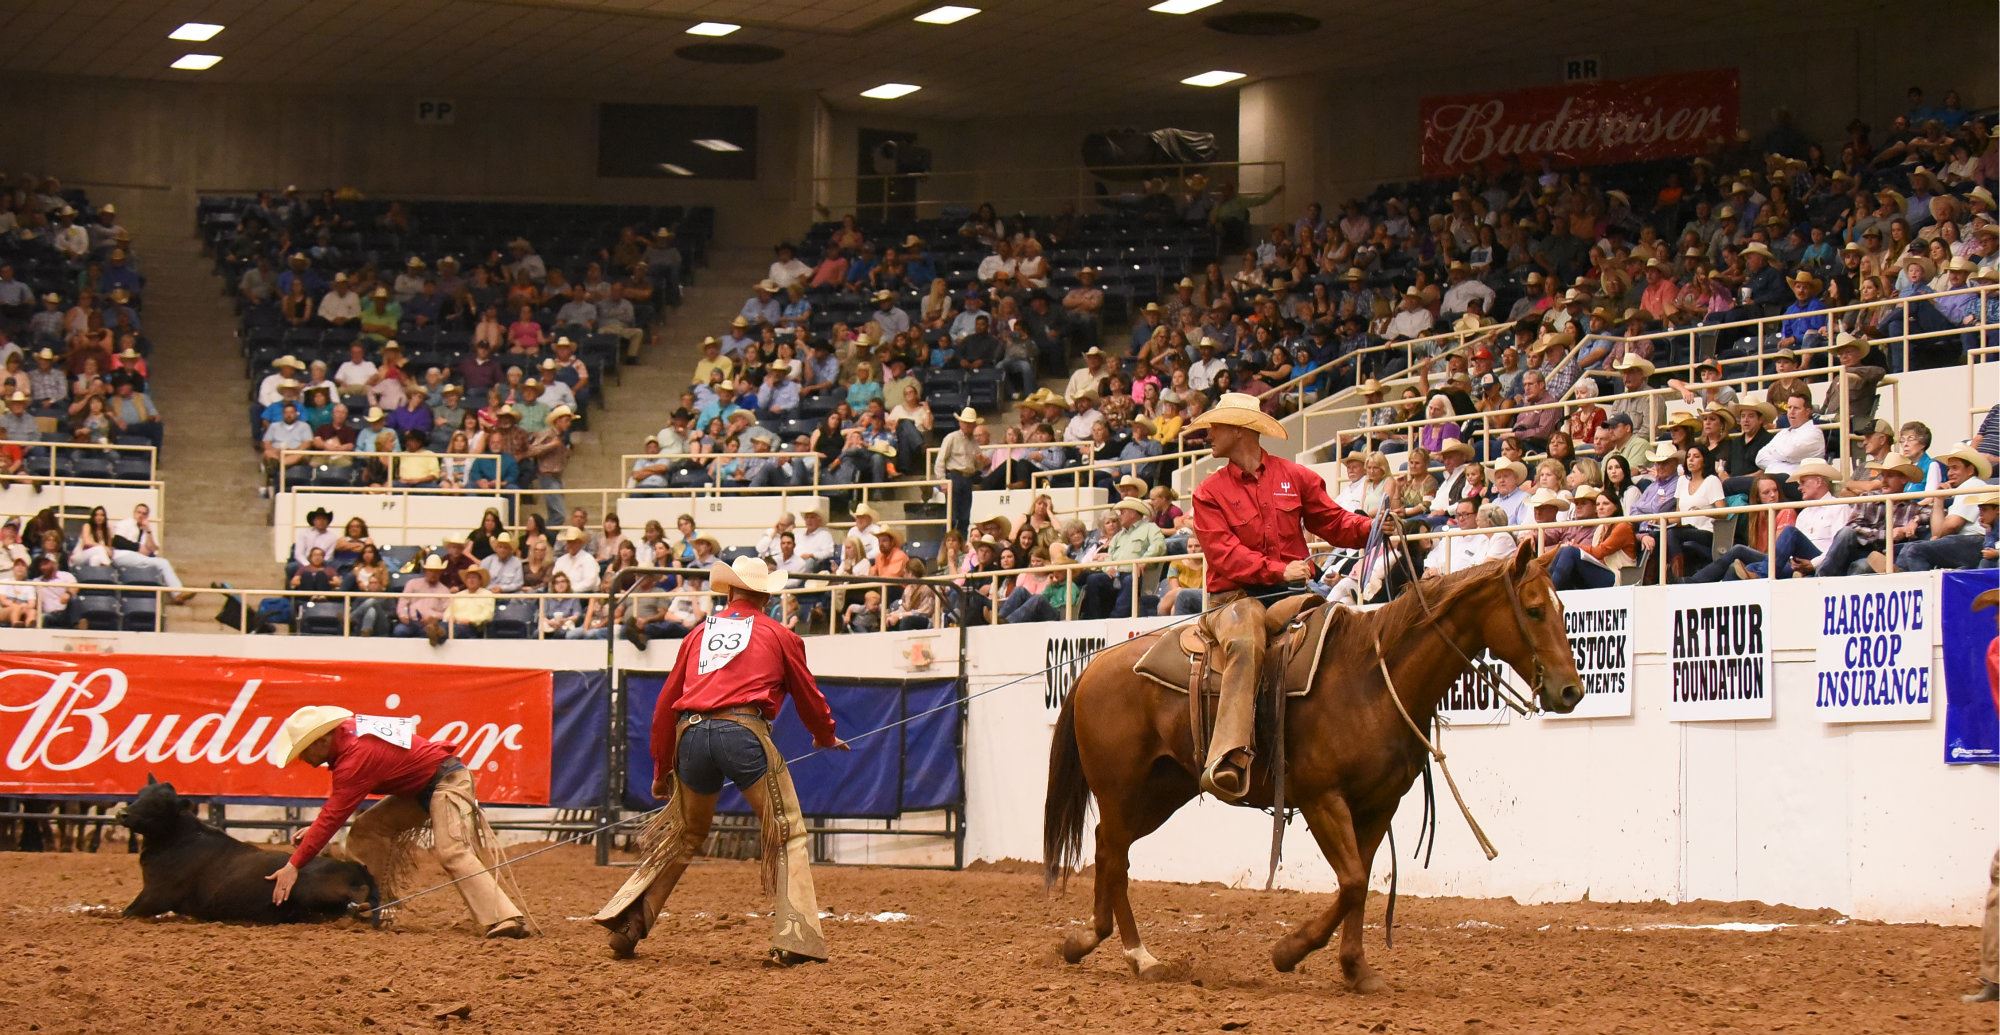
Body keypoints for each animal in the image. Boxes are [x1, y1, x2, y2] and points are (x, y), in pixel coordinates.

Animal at [120, 776, 380, 925]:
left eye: (158, 803)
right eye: (139, 794)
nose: (122, 813)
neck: (177, 839)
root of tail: (357, 873)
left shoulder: (154, 896)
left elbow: (125, 912)